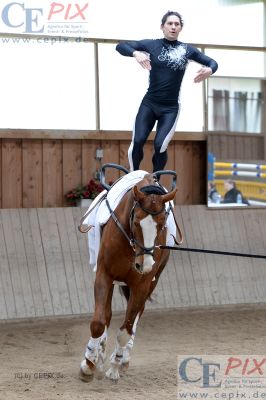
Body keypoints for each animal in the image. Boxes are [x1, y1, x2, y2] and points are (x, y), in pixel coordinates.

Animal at [79, 170, 179, 382]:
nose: (144, 264)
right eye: (136, 222)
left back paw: (121, 359)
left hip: (151, 281)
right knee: (107, 315)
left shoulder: (142, 284)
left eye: (162, 225)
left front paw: (115, 367)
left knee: (136, 316)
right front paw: (89, 363)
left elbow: (126, 330)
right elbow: (99, 322)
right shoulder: (104, 274)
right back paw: (99, 353)